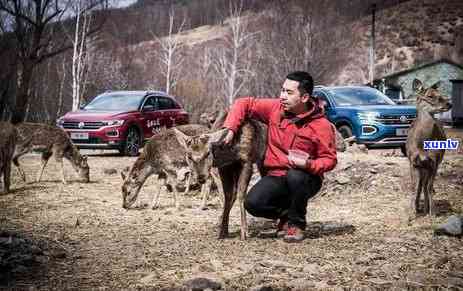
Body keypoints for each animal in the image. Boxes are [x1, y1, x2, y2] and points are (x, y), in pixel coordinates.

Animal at [406, 78, 454, 220]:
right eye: (430, 96)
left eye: (441, 94)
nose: (449, 104)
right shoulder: (413, 161)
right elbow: (414, 186)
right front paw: (411, 213)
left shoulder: (435, 161)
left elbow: (429, 186)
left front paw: (433, 213)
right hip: (422, 166)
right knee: (421, 184)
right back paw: (418, 207)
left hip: (430, 164)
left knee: (426, 185)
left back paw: (425, 209)